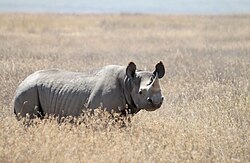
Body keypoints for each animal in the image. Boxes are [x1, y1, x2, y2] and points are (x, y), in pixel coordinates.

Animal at [14, 61, 165, 118]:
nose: (156, 102)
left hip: (29, 90)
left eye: (162, 94)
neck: (128, 83)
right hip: (27, 91)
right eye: (140, 92)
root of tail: (21, 83)